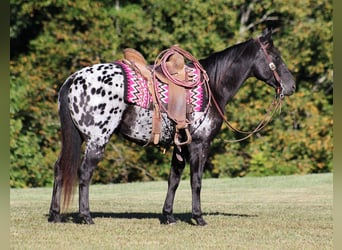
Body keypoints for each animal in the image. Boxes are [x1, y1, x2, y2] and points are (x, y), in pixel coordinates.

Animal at [48, 29, 296, 227]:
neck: (212, 88)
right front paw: (198, 217)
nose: (292, 86)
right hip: (97, 139)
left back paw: (55, 215)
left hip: (78, 138)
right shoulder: (200, 145)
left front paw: (168, 216)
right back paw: (86, 216)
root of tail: (73, 79)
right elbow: (196, 181)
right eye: (276, 57)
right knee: (84, 172)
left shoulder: (180, 147)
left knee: (60, 169)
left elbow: (173, 180)